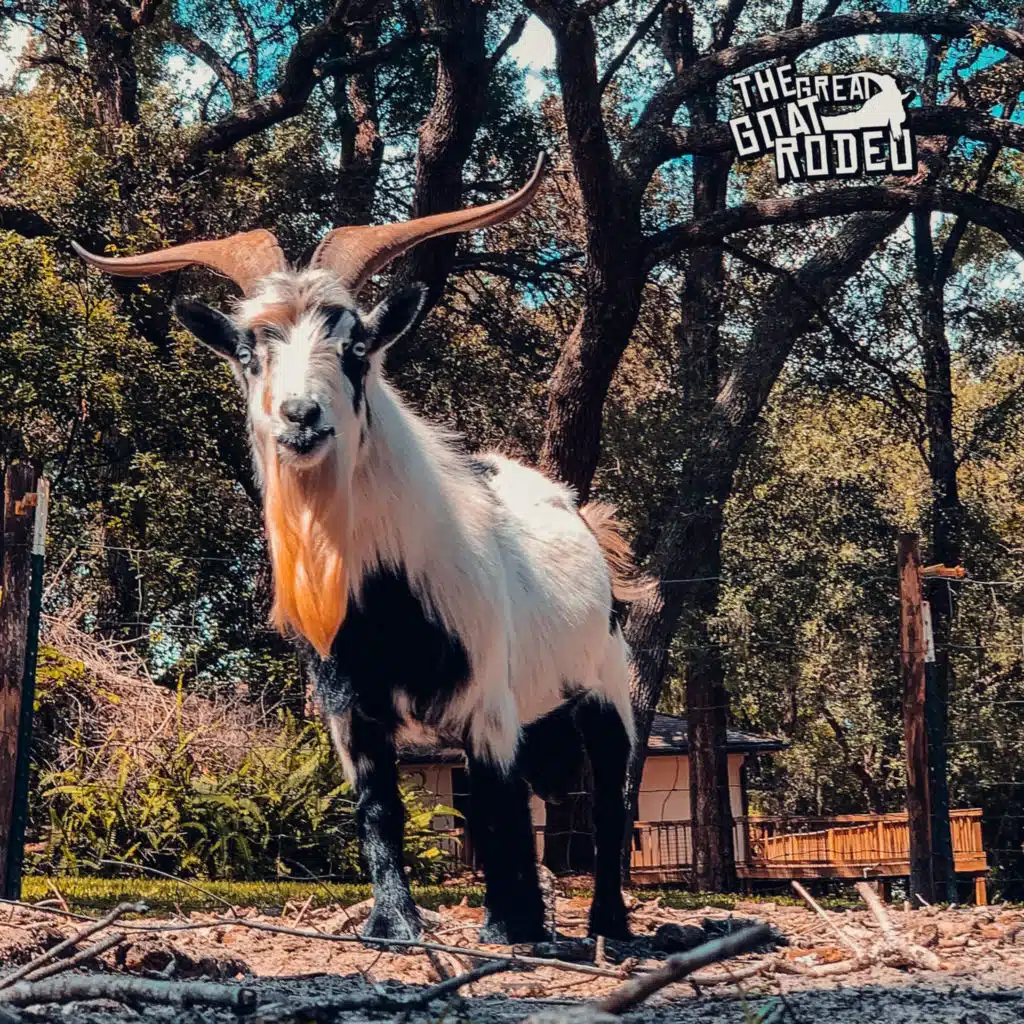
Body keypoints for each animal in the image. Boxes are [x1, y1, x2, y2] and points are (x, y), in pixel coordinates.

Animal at [74, 154, 644, 943]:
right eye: (249, 353)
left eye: (355, 347)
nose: (300, 416)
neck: (386, 601)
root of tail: (583, 515)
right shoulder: (350, 707)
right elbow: (382, 810)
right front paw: (395, 925)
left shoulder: (487, 699)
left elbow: (497, 808)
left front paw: (512, 930)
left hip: (607, 684)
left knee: (612, 799)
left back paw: (608, 925)